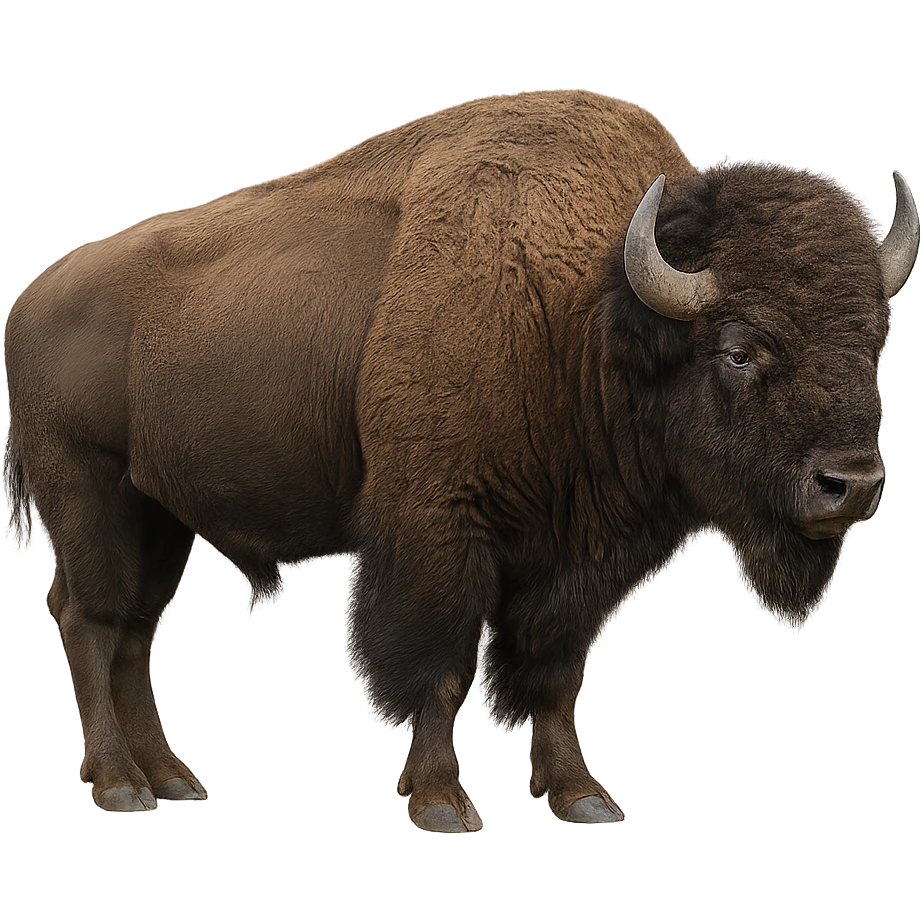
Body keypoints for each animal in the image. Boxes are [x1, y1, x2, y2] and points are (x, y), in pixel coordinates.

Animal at [4, 89, 918, 830]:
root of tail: (32, 298)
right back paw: (121, 785)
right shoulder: (436, 531)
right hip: (86, 491)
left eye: (872, 341)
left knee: (135, 630)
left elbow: (554, 671)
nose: (851, 484)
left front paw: (582, 797)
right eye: (737, 349)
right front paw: (442, 802)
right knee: (89, 618)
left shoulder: (574, 561)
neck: (585, 313)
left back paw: (174, 779)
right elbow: (440, 666)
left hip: (159, 515)